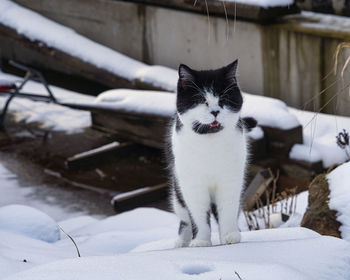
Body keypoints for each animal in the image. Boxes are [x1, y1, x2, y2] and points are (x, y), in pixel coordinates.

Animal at [167, 59, 254, 247]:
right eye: (201, 100)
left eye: (223, 99)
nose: (215, 111)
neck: (210, 143)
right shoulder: (191, 184)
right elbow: (198, 215)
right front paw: (201, 241)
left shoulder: (231, 180)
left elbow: (227, 210)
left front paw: (230, 236)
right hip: (177, 194)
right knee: (184, 220)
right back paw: (181, 241)